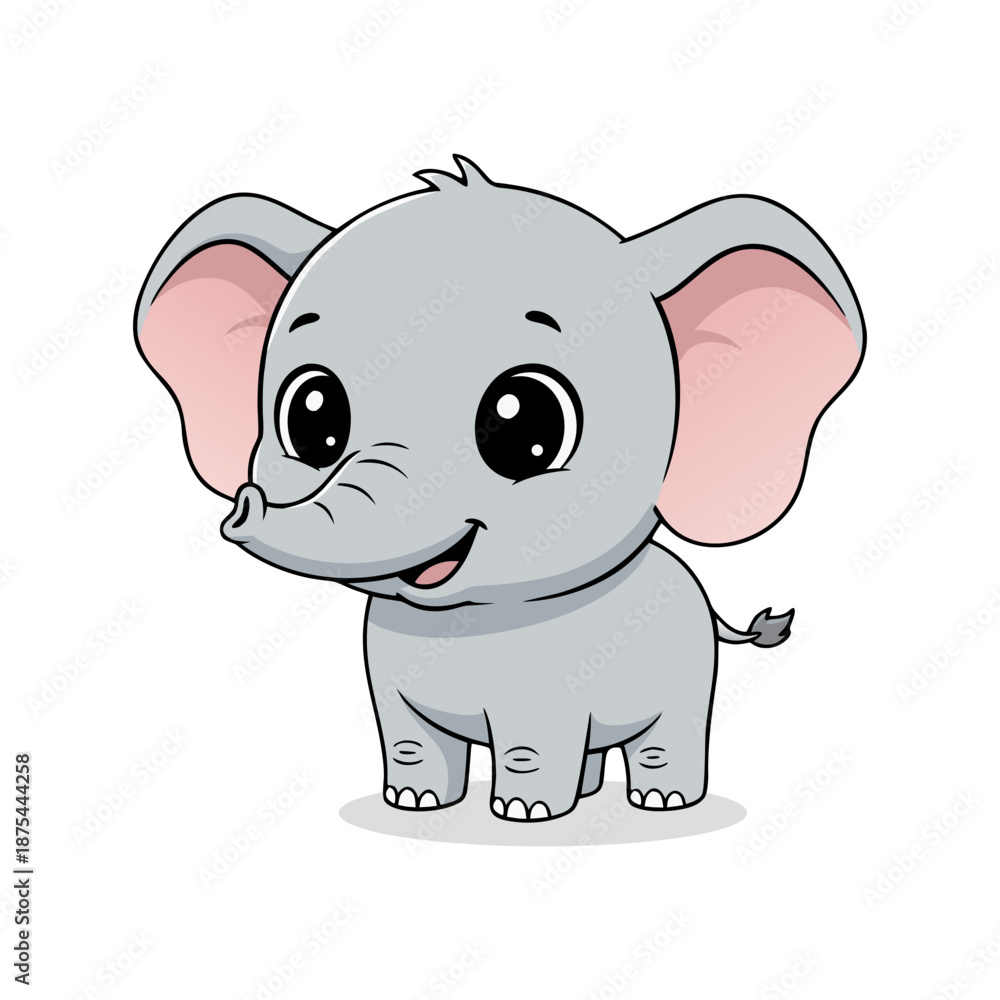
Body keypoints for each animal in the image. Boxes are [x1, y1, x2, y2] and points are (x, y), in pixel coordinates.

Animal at [134, 156, 864, 821]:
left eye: (526, 423)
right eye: (311, 415)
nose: (242, 503)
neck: (472, 618)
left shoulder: (551, 687)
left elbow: (532, 742)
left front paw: (524, 813)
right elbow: (407, 739)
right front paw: (414, 802)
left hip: (687, 672)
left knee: (666, 736)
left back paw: (661, 800)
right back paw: (589, 793)